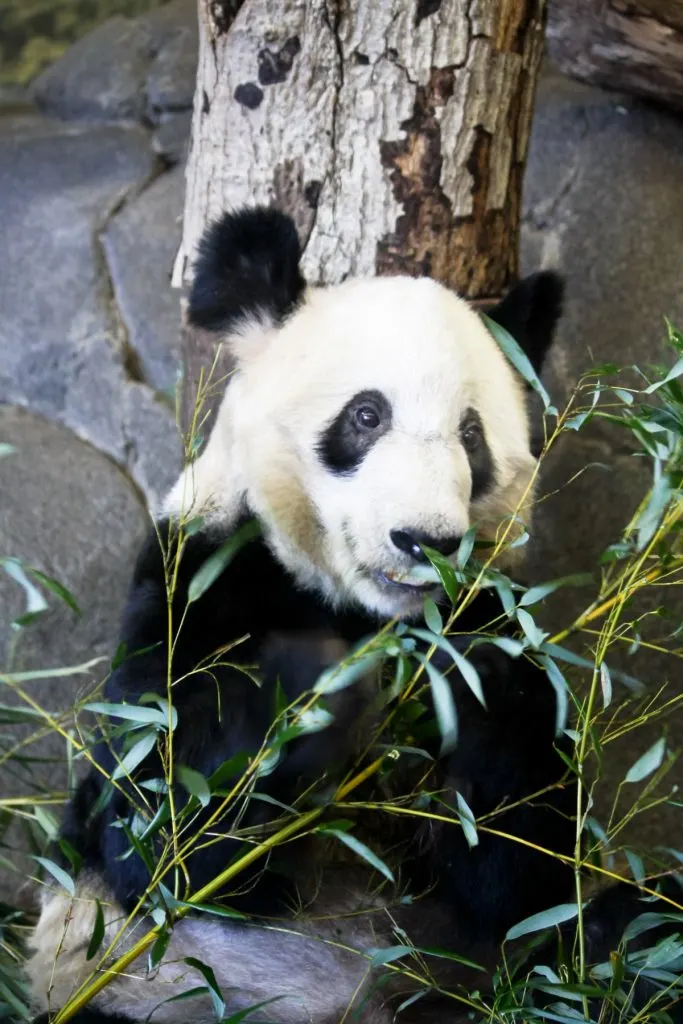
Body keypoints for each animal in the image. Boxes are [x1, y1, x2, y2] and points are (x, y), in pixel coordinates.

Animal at [24, 207, 679, 1024]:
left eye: (470, 434)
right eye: (366, 415)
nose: (426, 540)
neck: (361, 610)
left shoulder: (492, 611)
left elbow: (520, 875)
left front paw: (475, 678)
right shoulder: (198, 579)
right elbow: (161, 823)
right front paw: (309, 685)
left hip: (514, 979)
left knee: (629, 933)